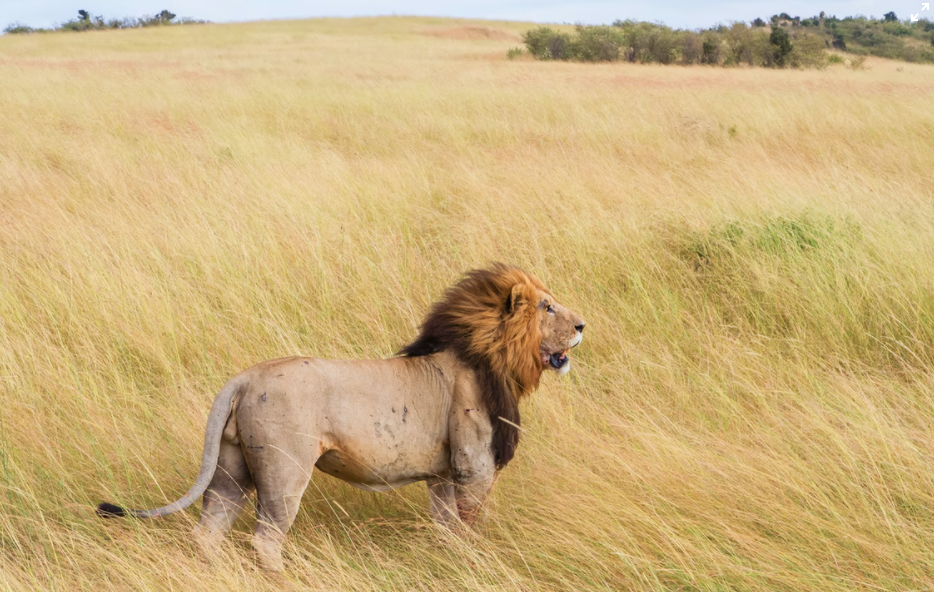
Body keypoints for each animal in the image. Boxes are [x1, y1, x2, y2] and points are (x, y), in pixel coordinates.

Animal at [97, 262, 584, 568]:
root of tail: (244, 378)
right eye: (547, 307)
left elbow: (447, 529)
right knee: (265, 539)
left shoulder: (443, 474)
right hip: (285, 470)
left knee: (208, 532)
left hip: (232, 468)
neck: (492, 358)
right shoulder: (472, 466)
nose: (582, 325)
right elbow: (469, 526)